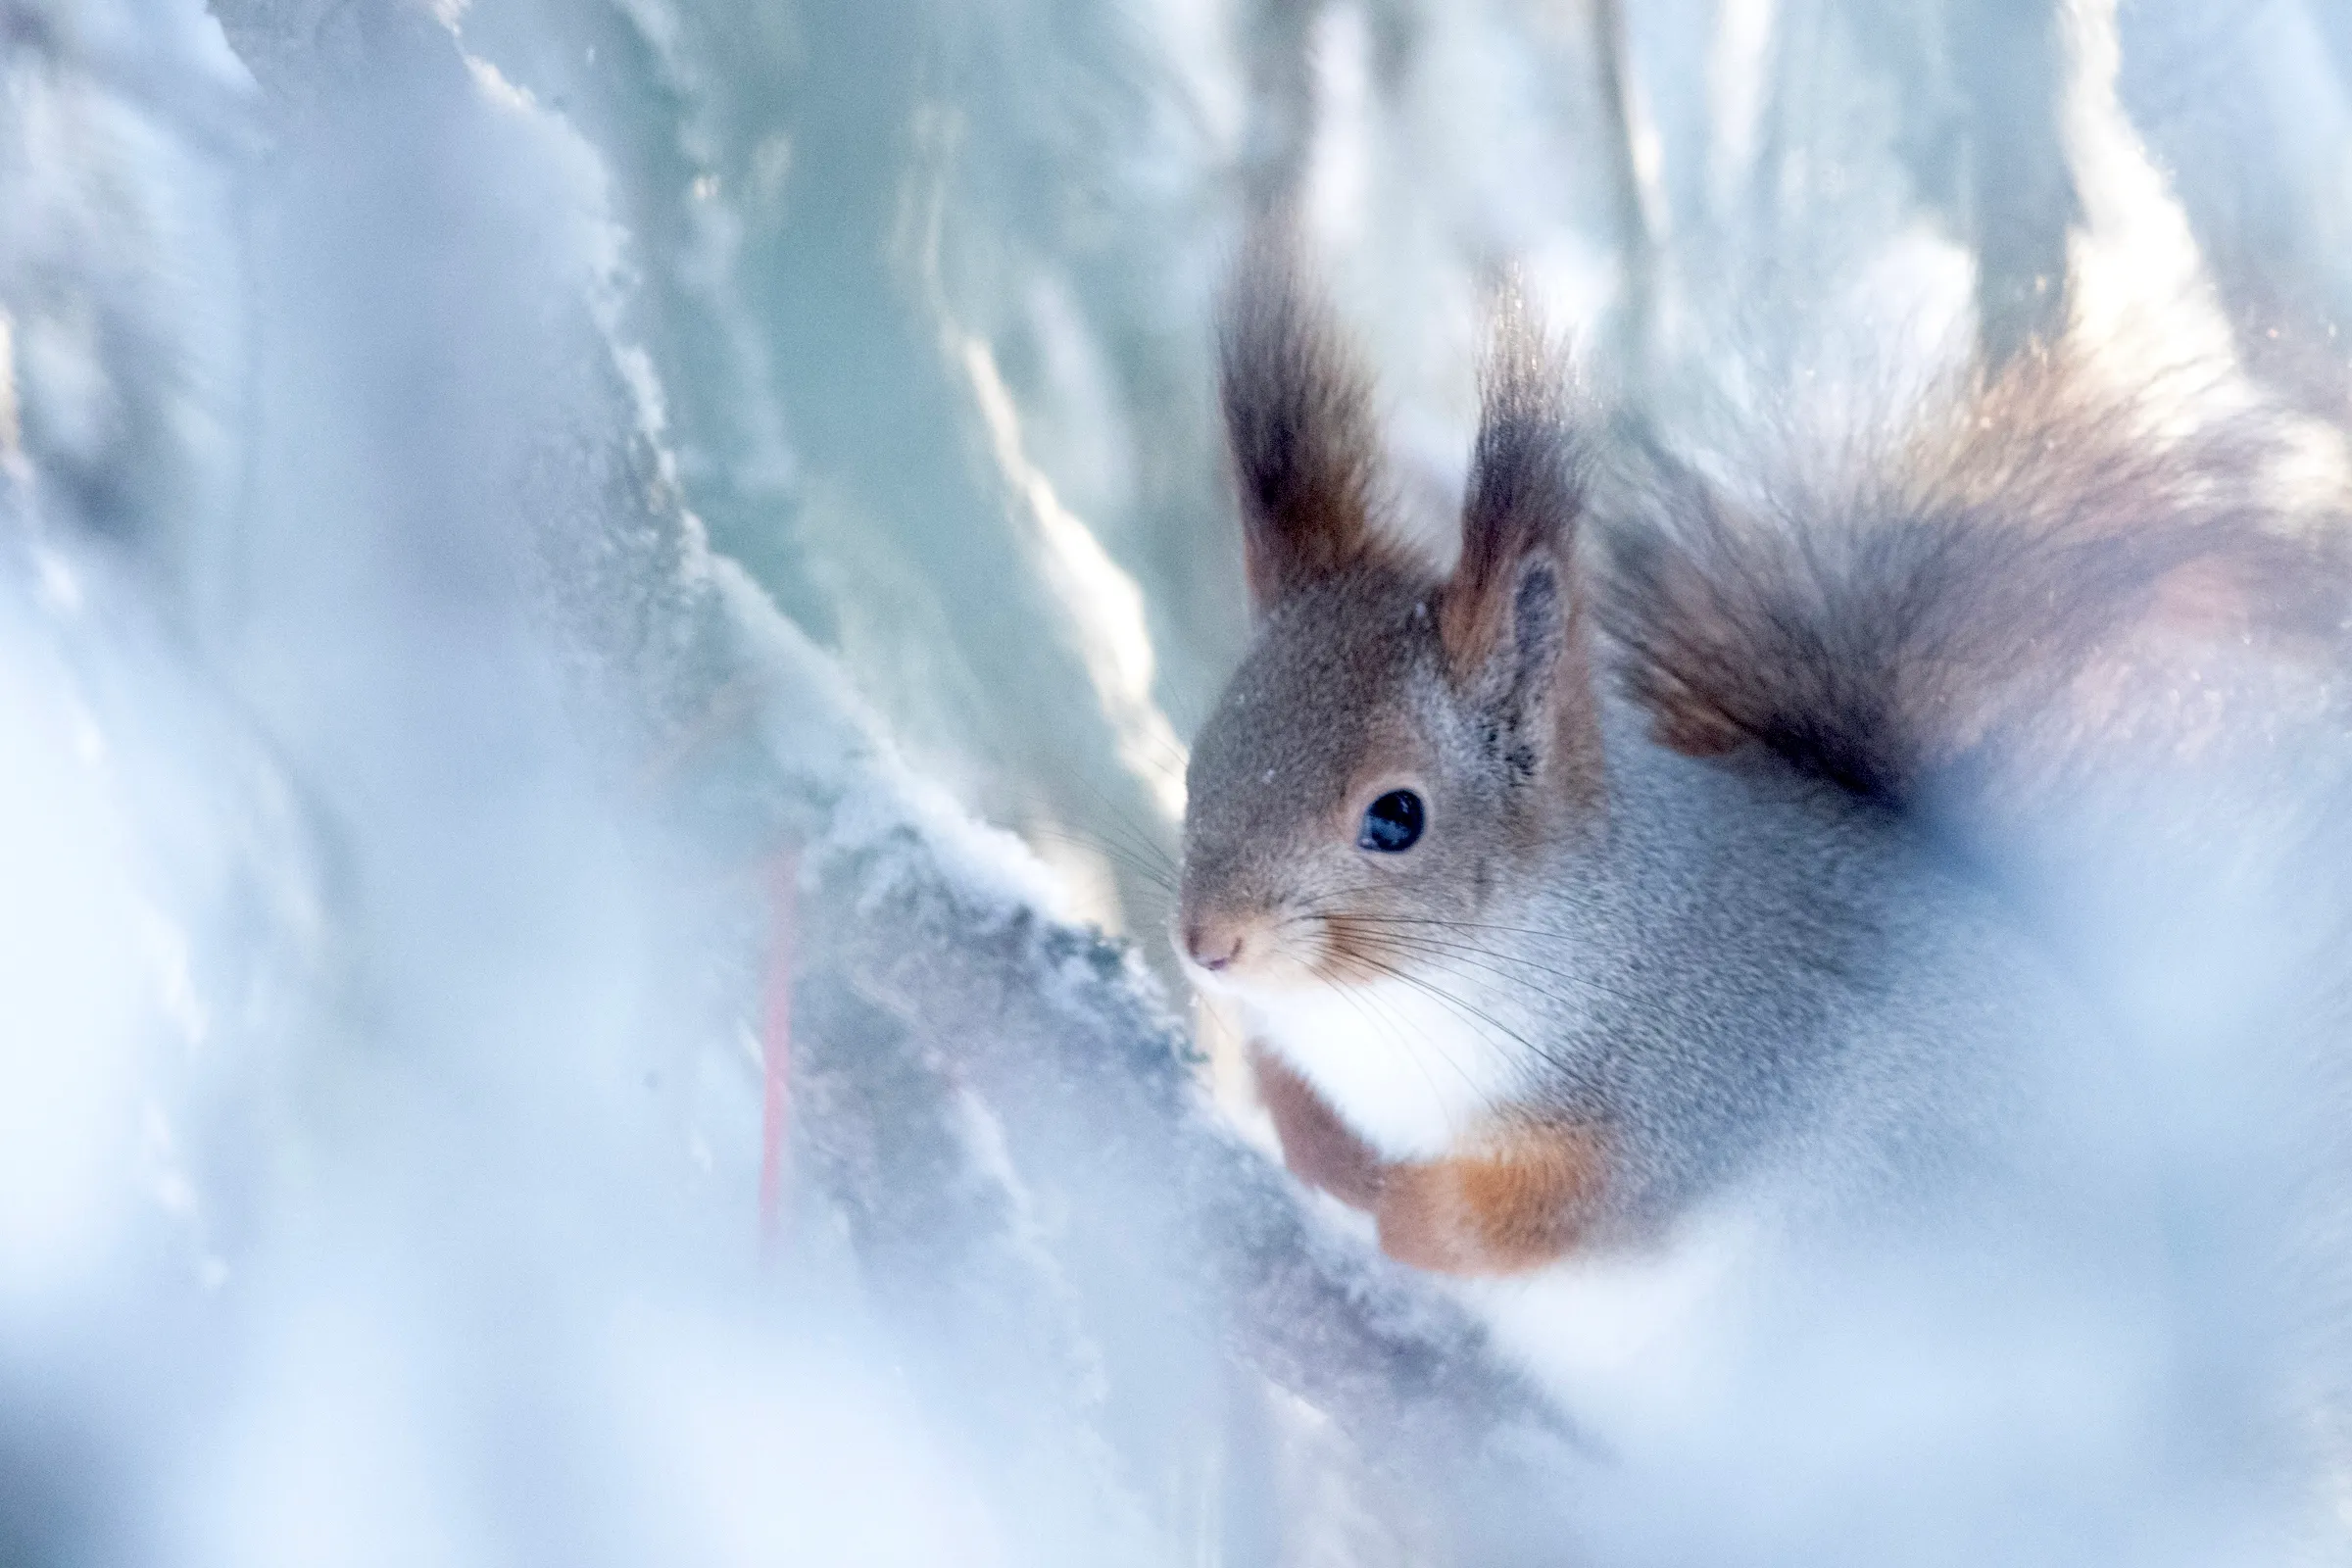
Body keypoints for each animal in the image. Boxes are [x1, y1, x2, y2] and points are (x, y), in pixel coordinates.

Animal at [1175, 239, 2350, 1278]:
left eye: (1396, 817)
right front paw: (1315, 1139)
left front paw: (1406, 1208)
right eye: (1201, 757)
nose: (1206, 946)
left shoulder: (1708, 1072)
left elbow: (1580, 1207)